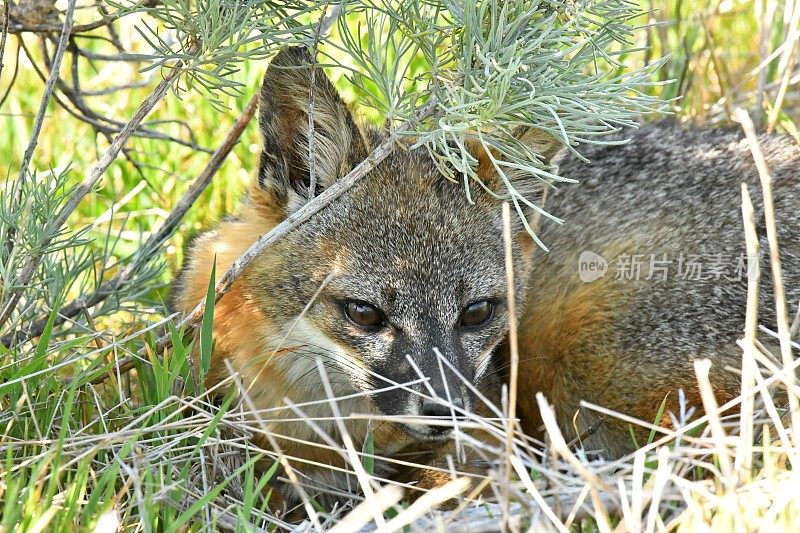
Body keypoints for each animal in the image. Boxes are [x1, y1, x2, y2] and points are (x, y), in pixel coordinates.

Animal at [173, 46, 800, 508]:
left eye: (476, 312)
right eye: (364, 314)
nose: (445, 412)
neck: (319, 426)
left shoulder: (487, 425)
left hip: (590, 360)